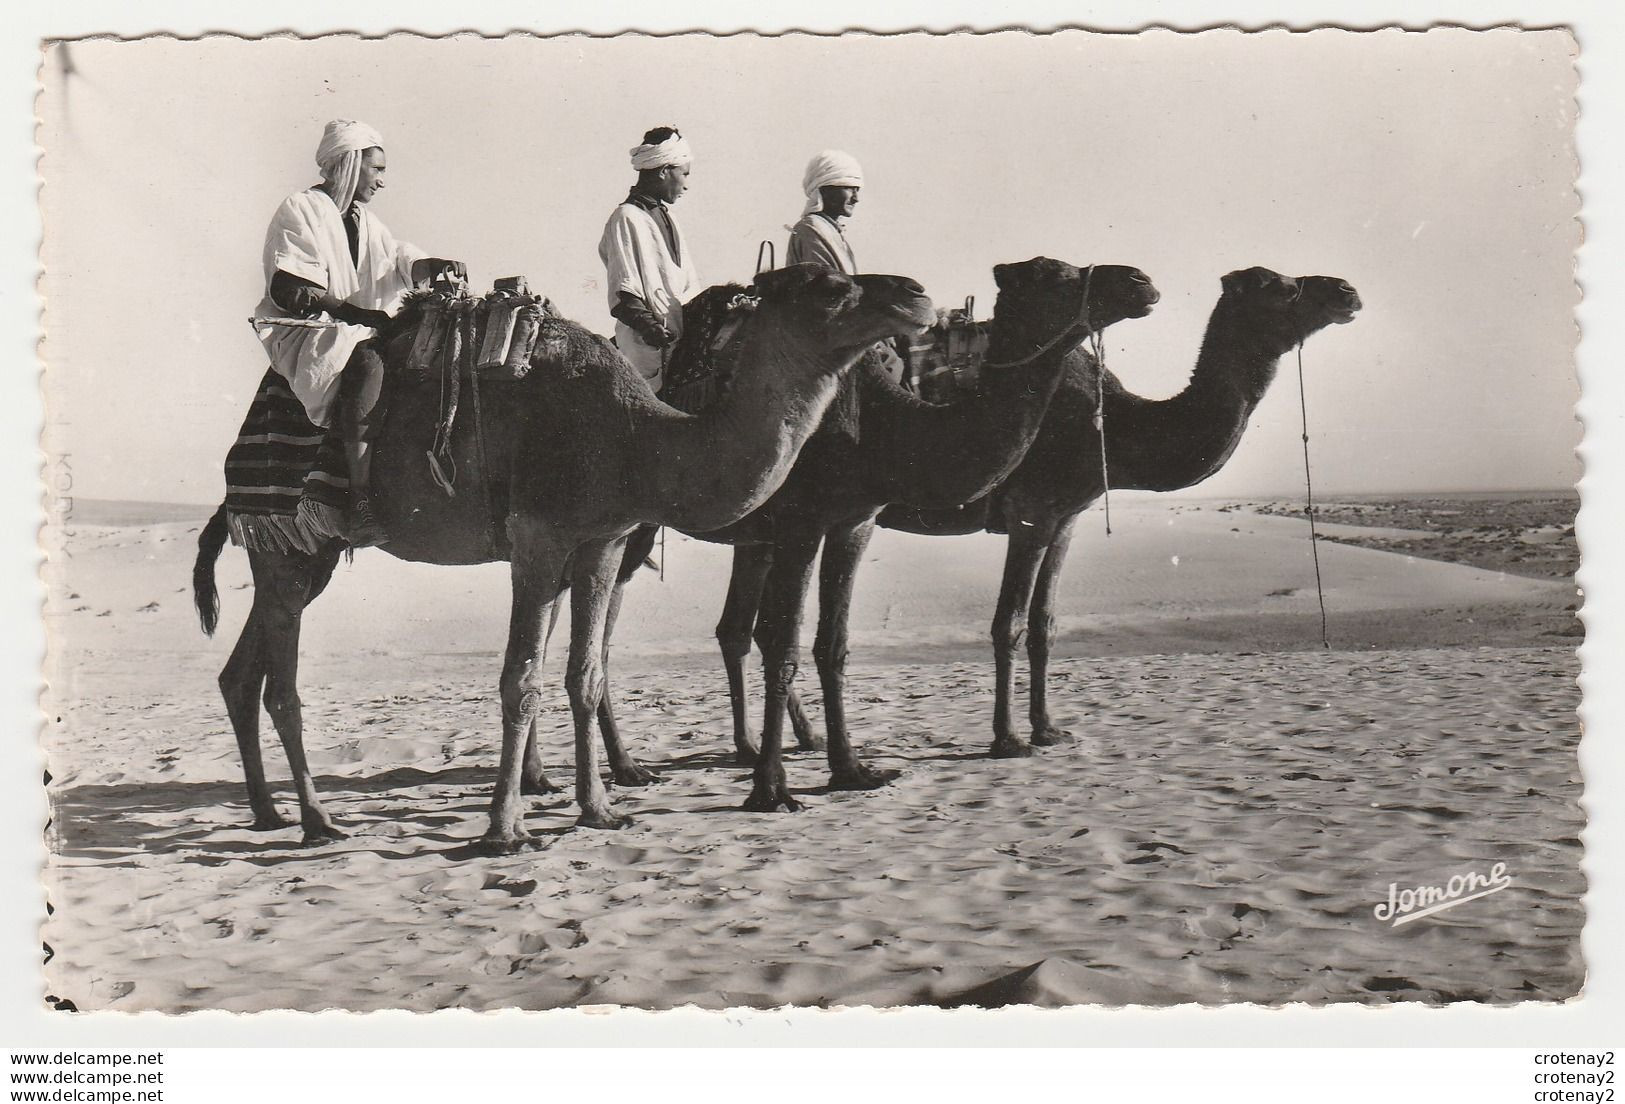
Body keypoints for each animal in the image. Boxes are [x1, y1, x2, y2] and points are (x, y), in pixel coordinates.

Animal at [191, 263, 936, 851]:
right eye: (831, 287)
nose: (915, 293)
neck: (634, 438)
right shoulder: (539, 538)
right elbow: (520, 679)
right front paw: (505, 830)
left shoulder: (601, 540)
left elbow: (586, 673)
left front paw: (599, 808)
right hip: (290, 540)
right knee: (281, 684)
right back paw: (316, 822)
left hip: (302, 554)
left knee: (241, 674)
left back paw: (267, 812)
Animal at [572, 258, 1157, 812]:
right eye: (1053, 276)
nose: (1139, 282)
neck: (877, 422)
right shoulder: (801, 524)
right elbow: (783, 647)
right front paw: (772, 789)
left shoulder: (855, 522)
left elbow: (833, 644)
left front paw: (851, 768)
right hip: (630, 528)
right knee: (606, 636)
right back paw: (625, 769)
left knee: (710, 630)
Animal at [884, 263, 1365, 754]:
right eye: (1280, 287)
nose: (1346, 291)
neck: (1112, 424)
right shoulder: (1030, 511)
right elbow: (1010, 623)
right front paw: (1009, 740)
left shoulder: (1065, 518)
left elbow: (1045, 624)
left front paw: (1048, 729)